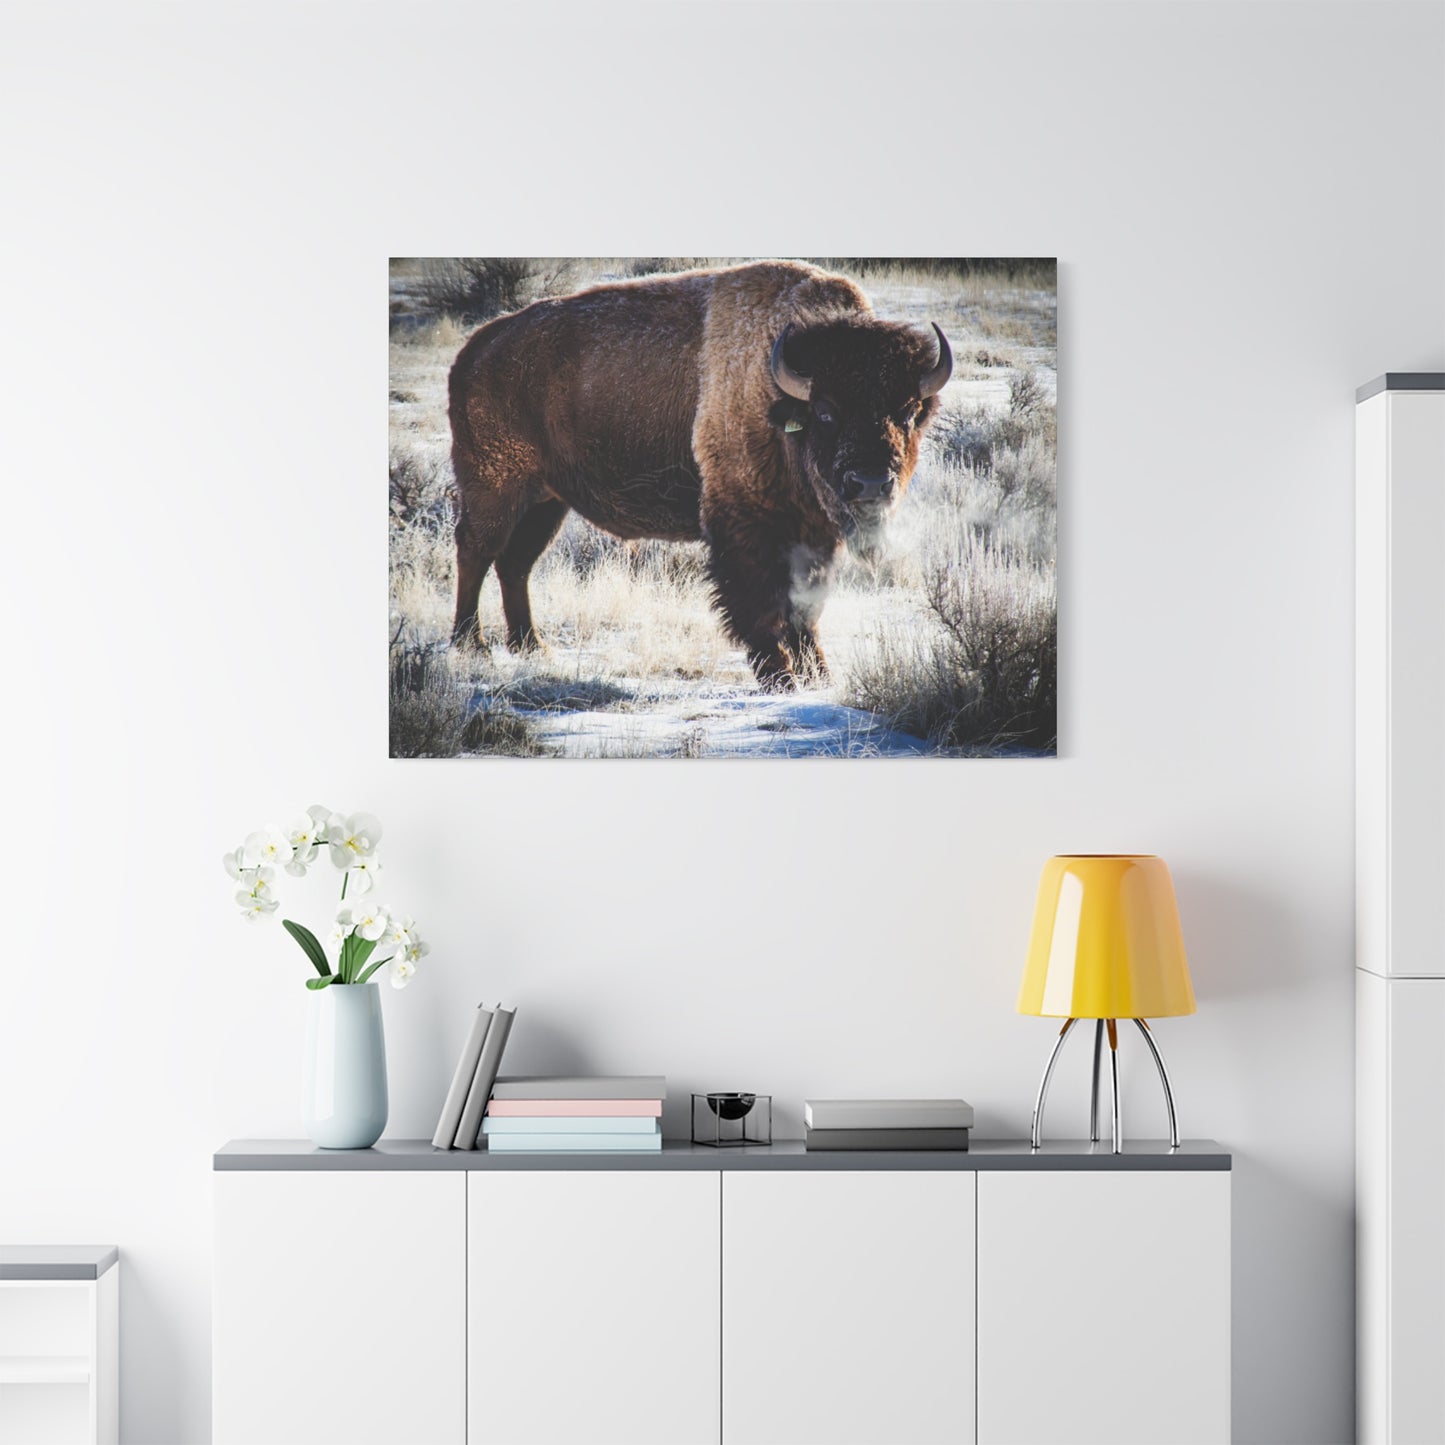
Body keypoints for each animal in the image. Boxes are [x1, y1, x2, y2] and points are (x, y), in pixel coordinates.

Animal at [447, 260, 952, 689]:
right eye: (826, 412)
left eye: (908, 411)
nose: (870, 483)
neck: (778, 395)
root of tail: (475, 349)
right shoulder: (746, 525)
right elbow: (761, 604)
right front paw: (781, 678)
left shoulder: (814, 534)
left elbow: (806, 607)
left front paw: (818, 676)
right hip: (495, 486)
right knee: (477, 551)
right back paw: (471, 645)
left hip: (546, 502)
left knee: (515, 564)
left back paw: (532, 647)